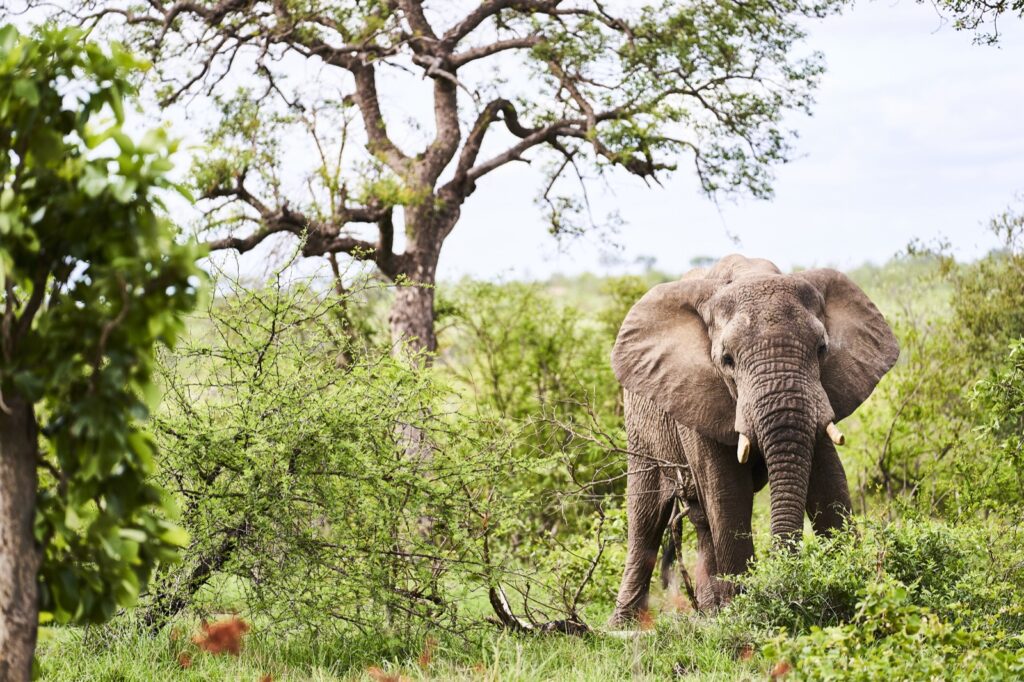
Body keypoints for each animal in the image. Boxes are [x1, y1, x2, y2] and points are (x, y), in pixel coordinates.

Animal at [606, 250, 897, 622]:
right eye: (727, 360)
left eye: (821, 349)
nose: (788, 582)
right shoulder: (699, 396)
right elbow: (728, 491)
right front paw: (747, 612)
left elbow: (829, 483)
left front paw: (854, 586)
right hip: (640, 423)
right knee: (645, 516)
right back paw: (625, 622)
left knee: (701, 521)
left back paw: (709, 612)